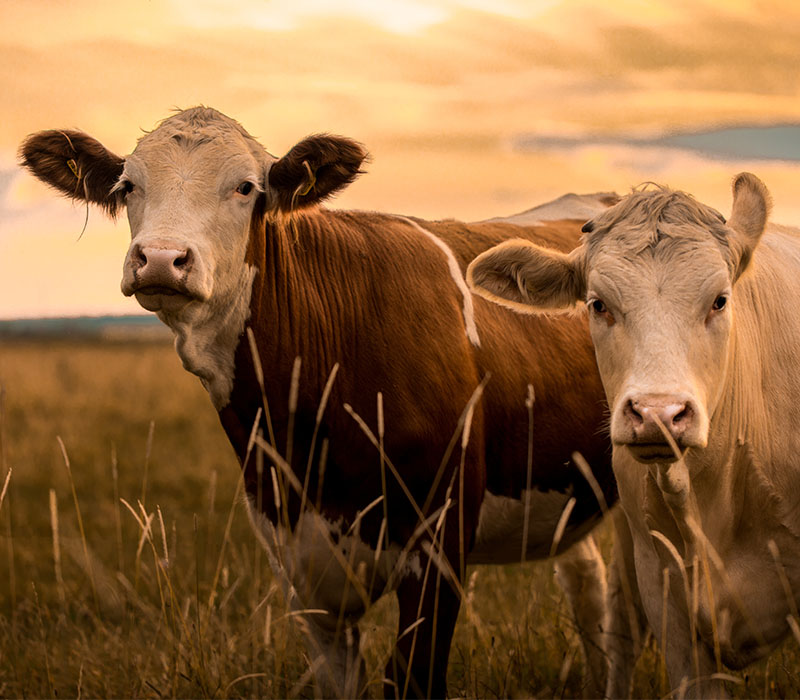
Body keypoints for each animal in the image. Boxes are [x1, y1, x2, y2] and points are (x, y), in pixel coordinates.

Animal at [20, 105, 620, 700]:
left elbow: (411, 678)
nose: (162, 259)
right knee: (589, 587)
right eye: (128, 187)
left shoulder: (439, 547)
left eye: (246, 187)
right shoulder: (298, 564)